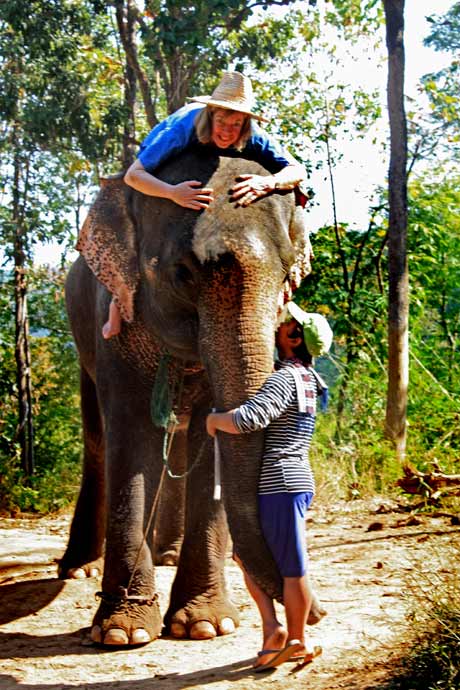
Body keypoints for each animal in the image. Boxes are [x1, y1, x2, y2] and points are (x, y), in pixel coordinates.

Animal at [59, 149, 322, 644]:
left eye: (287, 273)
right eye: (181, 273)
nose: (317, 614)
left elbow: (204, 444)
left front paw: (205, 625)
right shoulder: (114, 319)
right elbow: (130, 438)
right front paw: (123, 633)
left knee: (178, 441)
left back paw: (168, 555)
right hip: (81, 335)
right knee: (98, 442)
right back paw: (78, 569)